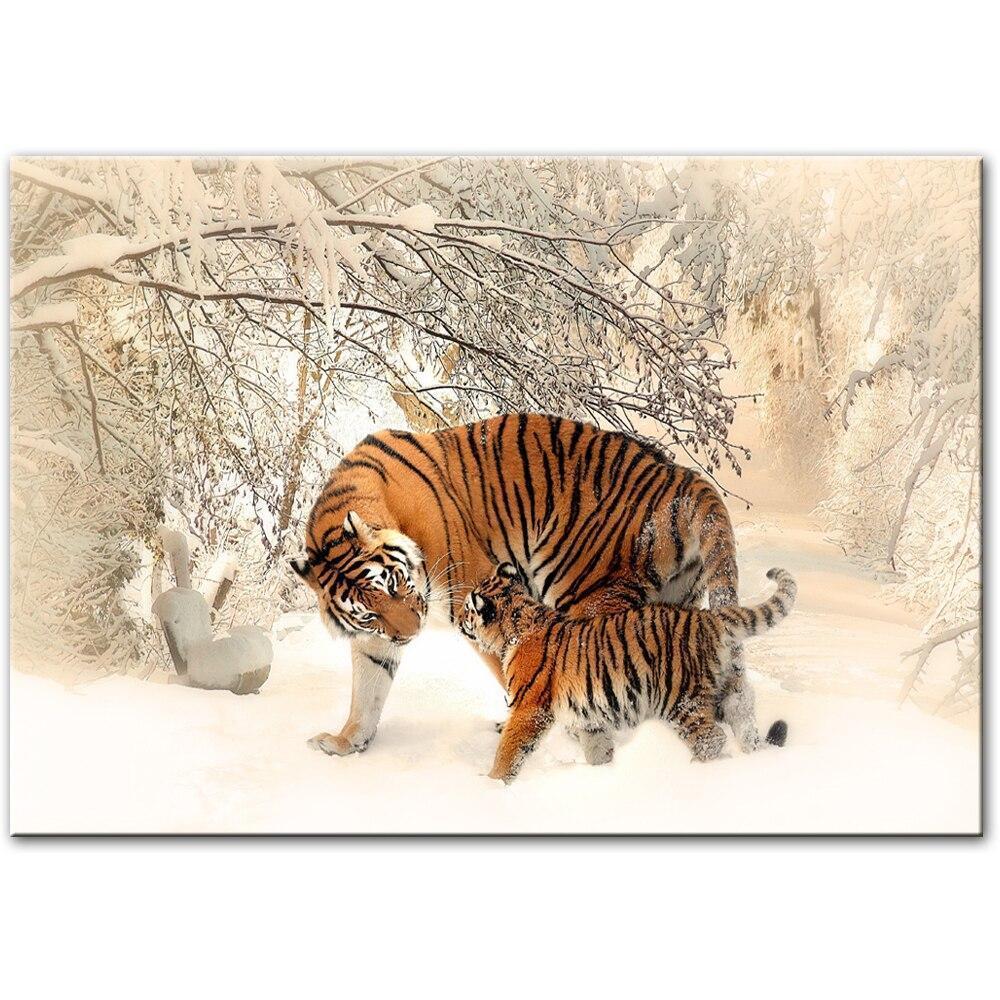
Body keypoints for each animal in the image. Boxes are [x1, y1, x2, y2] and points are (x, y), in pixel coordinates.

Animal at [292, 413, 758, 758]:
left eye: (393, 584)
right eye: (368, 613)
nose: (411, 634)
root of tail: (682, 476)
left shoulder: (475, 596)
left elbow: (515, 672)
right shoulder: (376, 638)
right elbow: (367, 689)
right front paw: (346, 742)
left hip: (587, 593)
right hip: (675, 601)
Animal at [460, 563, 796, 784]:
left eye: (467, 608)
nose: (459, 619)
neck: (519, 623)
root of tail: (707, 618)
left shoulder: (529, 708)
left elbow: (509, 749)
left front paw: (491, 784)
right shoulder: (589, 716)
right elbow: (597, 748)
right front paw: (602, 774)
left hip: (681, 700)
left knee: (711, 739)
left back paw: (696, 771)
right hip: (727, 691)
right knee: (745, 720)